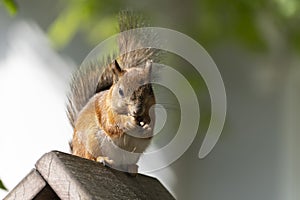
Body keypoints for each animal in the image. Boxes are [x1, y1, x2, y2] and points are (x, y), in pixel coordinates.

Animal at [65, 11, 159, 173]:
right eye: (120, 91)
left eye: (149, 90)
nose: (137, 111)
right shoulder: (106, 111)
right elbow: (112, 124)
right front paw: (128, 122)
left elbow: (150, 129)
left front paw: (147, 126)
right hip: (91, 142)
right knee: (92, 156)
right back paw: (104, 159)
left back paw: (131, 168)